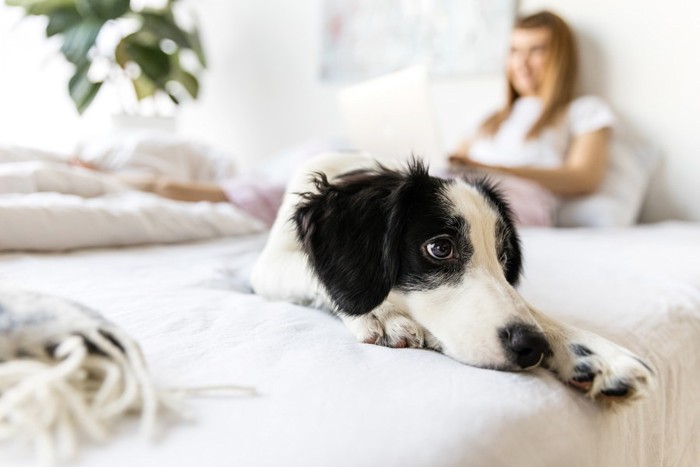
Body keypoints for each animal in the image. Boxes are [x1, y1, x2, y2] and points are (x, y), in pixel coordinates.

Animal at [253, 153, 656, 402]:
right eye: (440, 248)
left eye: (504, 257)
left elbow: (526, 305)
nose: (532, 347)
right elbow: (312, 273)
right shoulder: (266, 266)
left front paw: (587, 347)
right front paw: (382, 313)